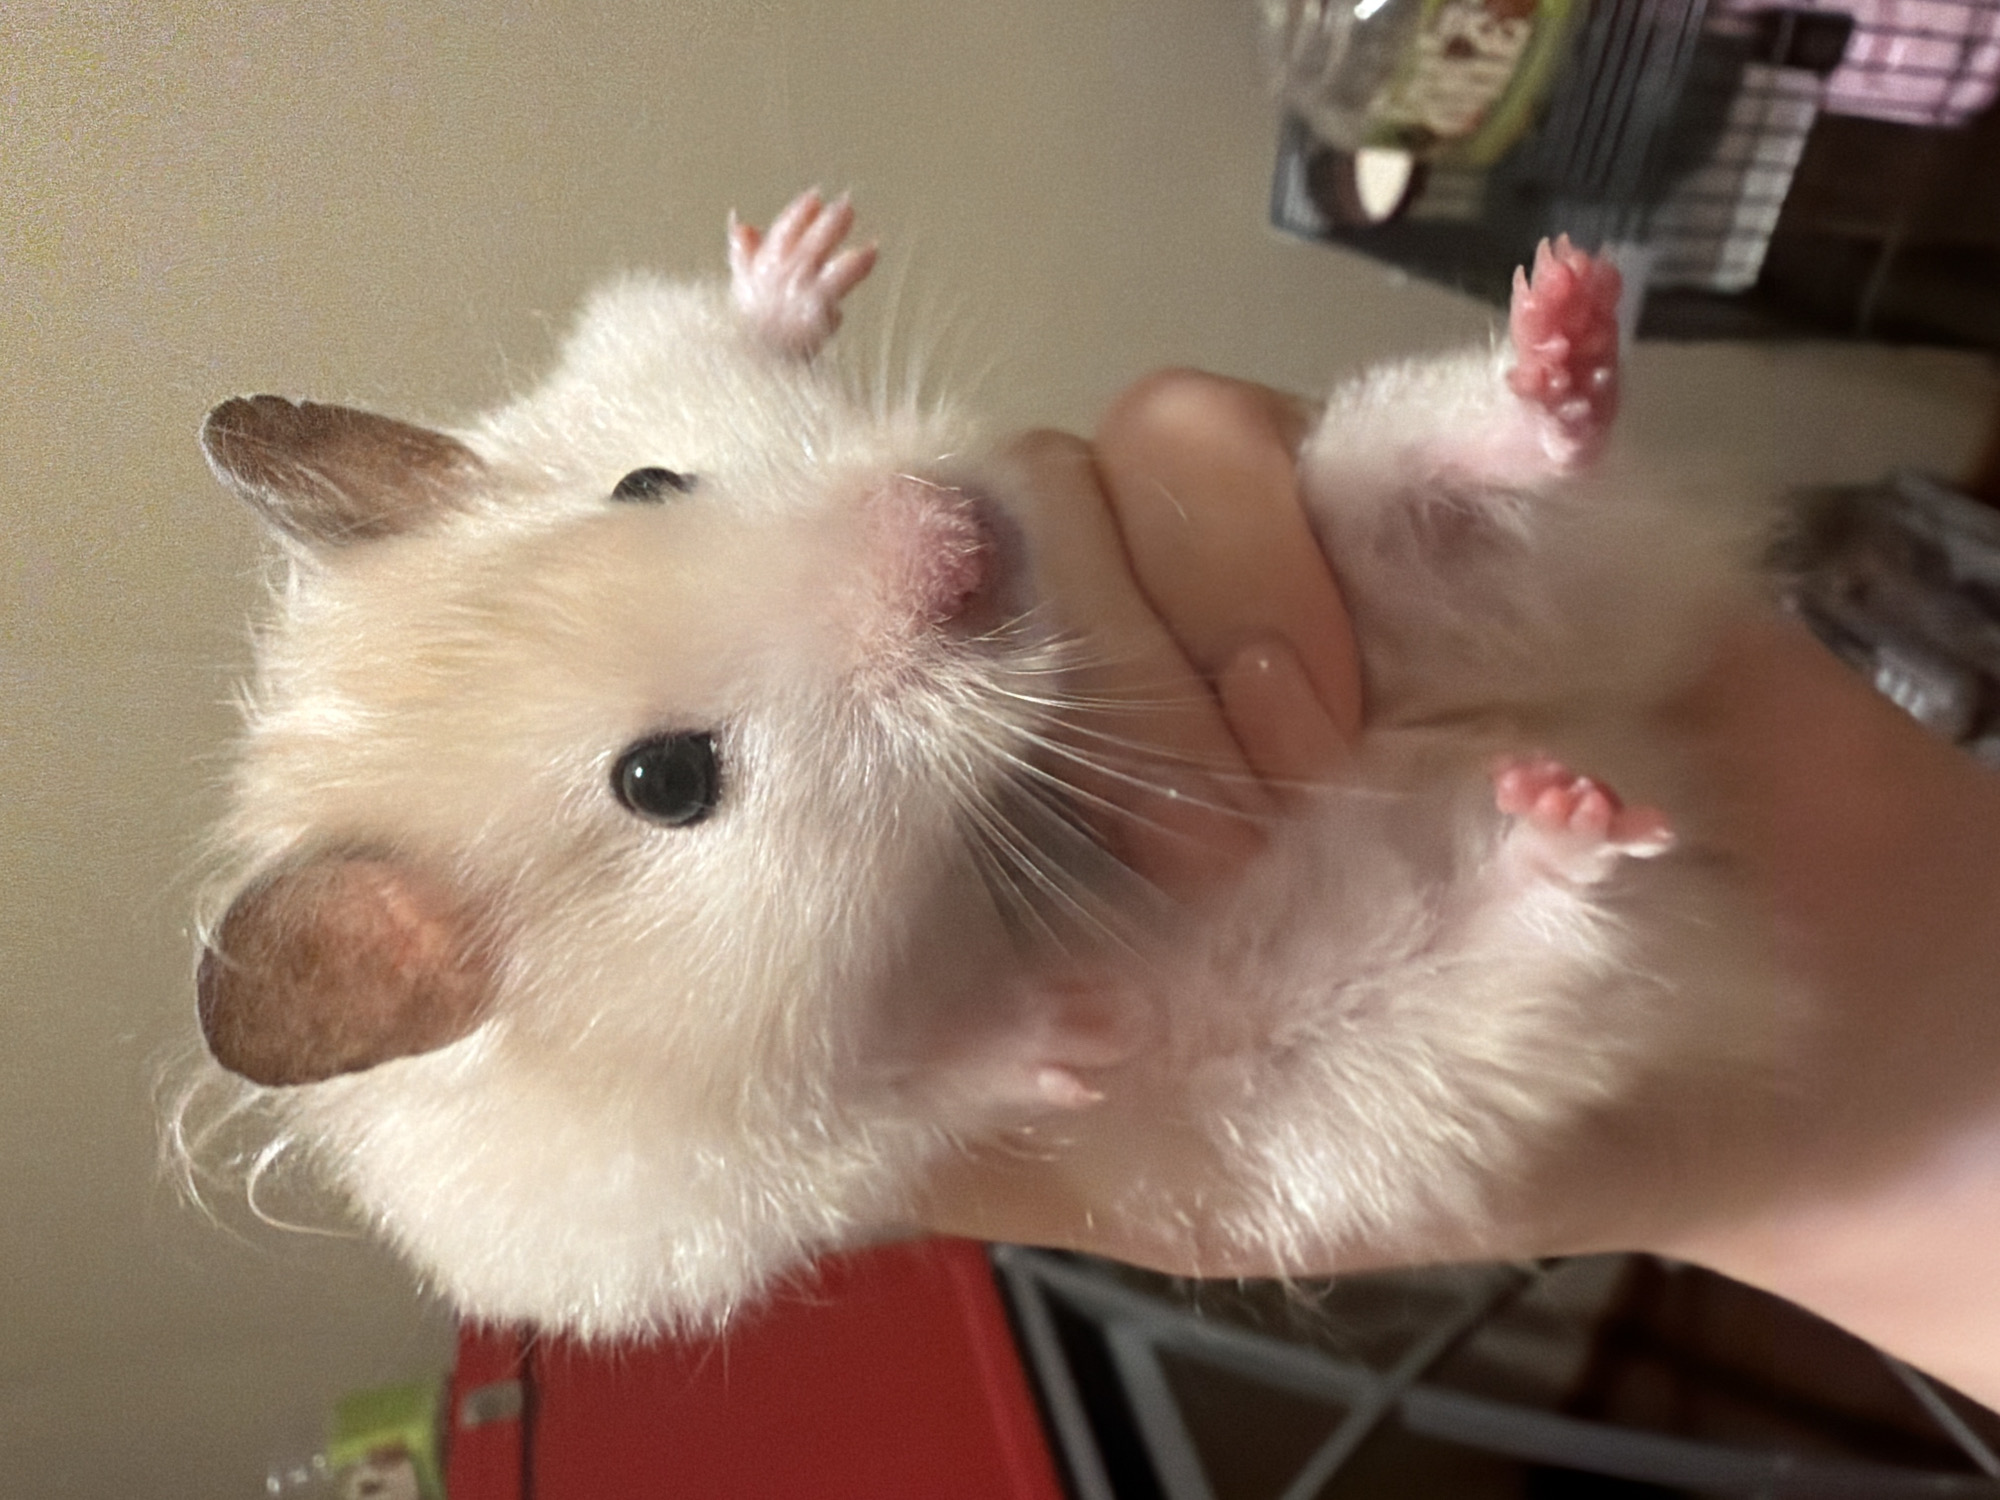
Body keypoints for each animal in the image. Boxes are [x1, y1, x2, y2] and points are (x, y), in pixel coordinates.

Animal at [181, 190, 1771, 1338]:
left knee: (1452, 489)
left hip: (1442, 587)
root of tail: (1623, 726)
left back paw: (1562, 339)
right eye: (668, 783)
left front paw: (800, 254)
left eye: (648, 482)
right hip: (1421, 1038)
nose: (963, 535)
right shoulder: (651, 1210)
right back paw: (1560, 819)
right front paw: (1071, 1027)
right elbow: (892, 1100)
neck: (951, 862)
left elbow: (690, 319)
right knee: (1532, 909)